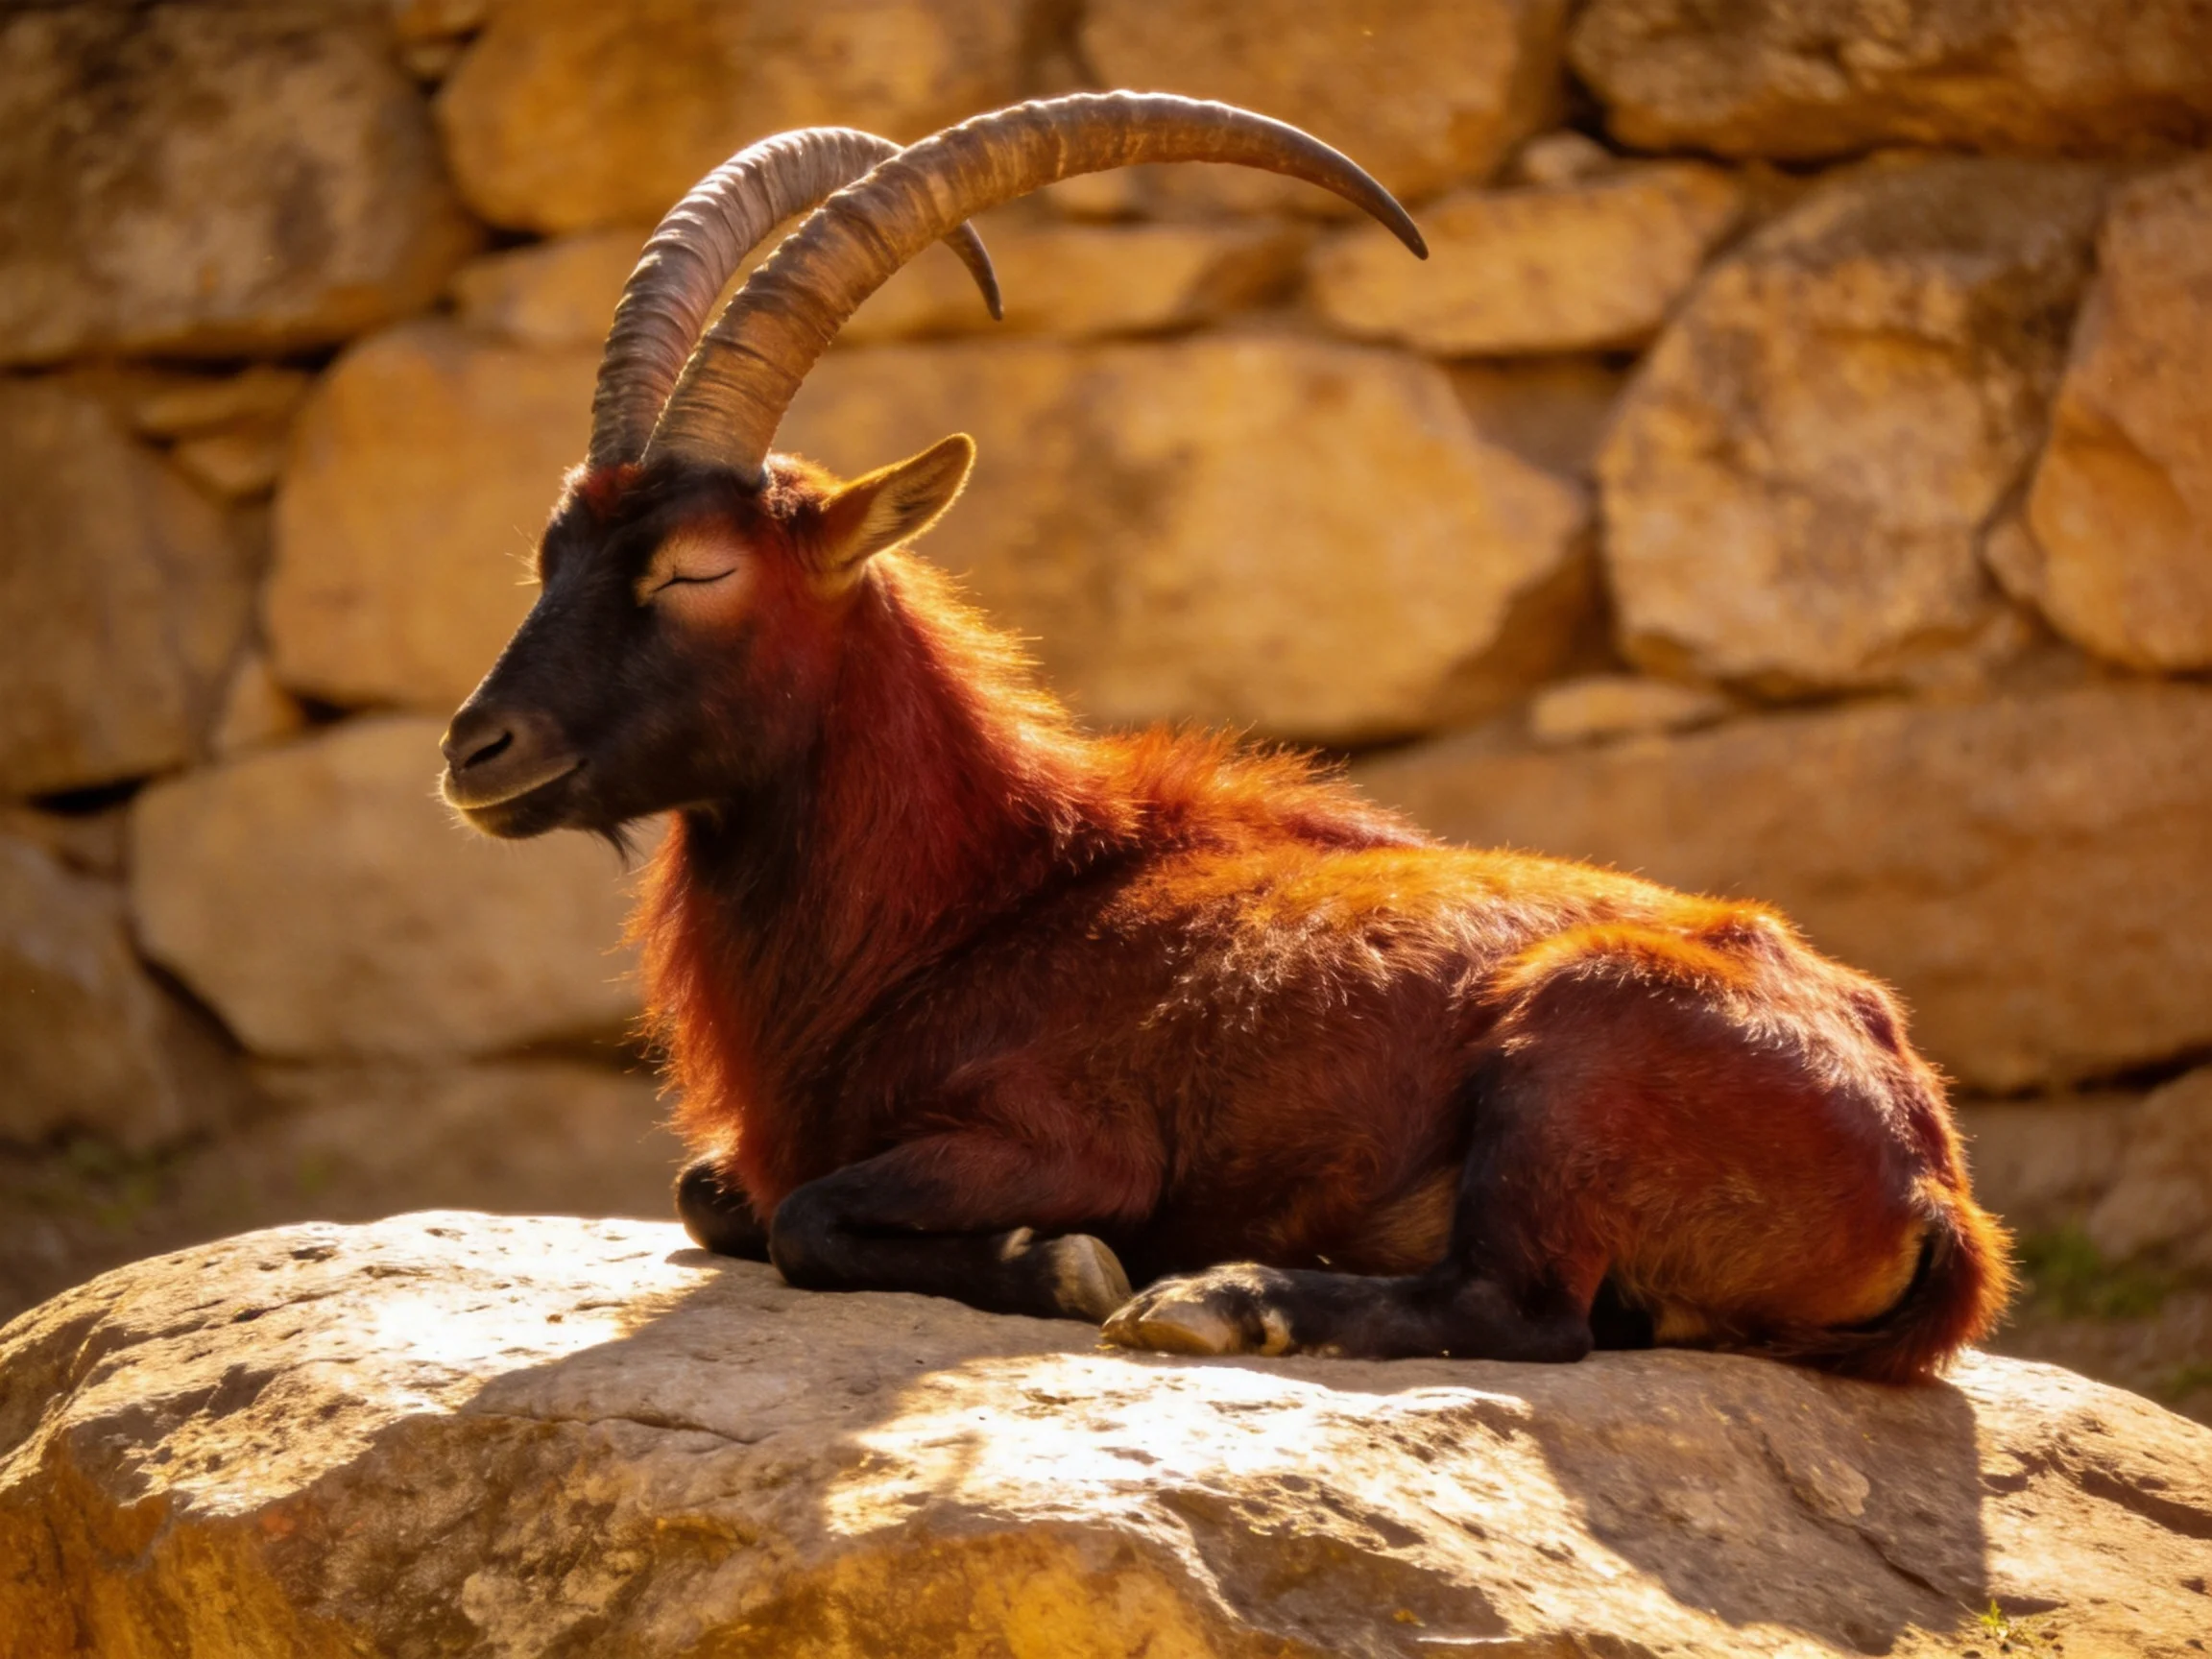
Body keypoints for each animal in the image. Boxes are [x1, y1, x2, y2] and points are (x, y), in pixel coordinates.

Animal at [441, 93, 2012, 1380]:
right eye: (549, 551)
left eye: (697, 569)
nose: (477, 751)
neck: (985, 892)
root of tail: (1927, 1172)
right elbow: (714, 1195)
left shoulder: (1061, 1135)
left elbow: (808, 1218)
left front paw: (1070, 1268)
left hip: (1570, 1061)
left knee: (1523, 1313)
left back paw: (1219, 1298)